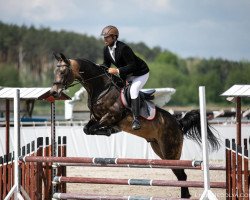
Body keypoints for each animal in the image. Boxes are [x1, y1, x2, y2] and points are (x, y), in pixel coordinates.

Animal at [50, 52, 219, 198]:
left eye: (63, 72)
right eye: (55, 71)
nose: (54, 92)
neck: (101, 88)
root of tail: (178, 123)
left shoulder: (111, 116)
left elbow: (95, 128)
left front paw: (109, 130)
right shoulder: (95, 117)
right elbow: (87, 129)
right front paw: (108, 131)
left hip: (170, 152)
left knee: (182, 174)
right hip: (159, 150)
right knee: (181, 175)